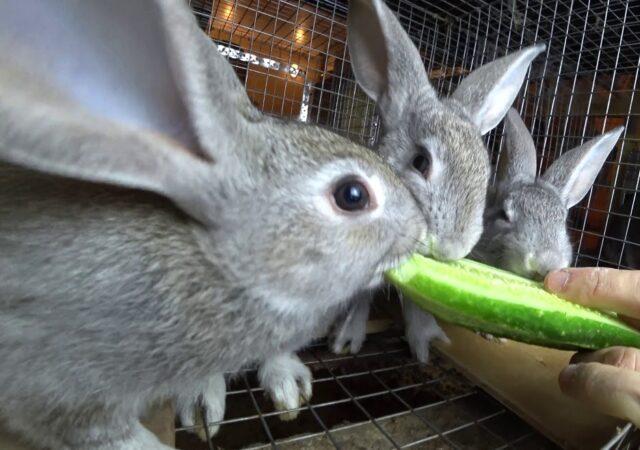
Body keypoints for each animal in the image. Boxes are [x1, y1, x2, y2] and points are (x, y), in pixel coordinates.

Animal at [0, 1, 430, 448]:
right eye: (353, 195)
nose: (420, 230)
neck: (223, 265)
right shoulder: (57, 385)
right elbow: (107, 433)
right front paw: (197, 406)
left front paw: (288, 384)